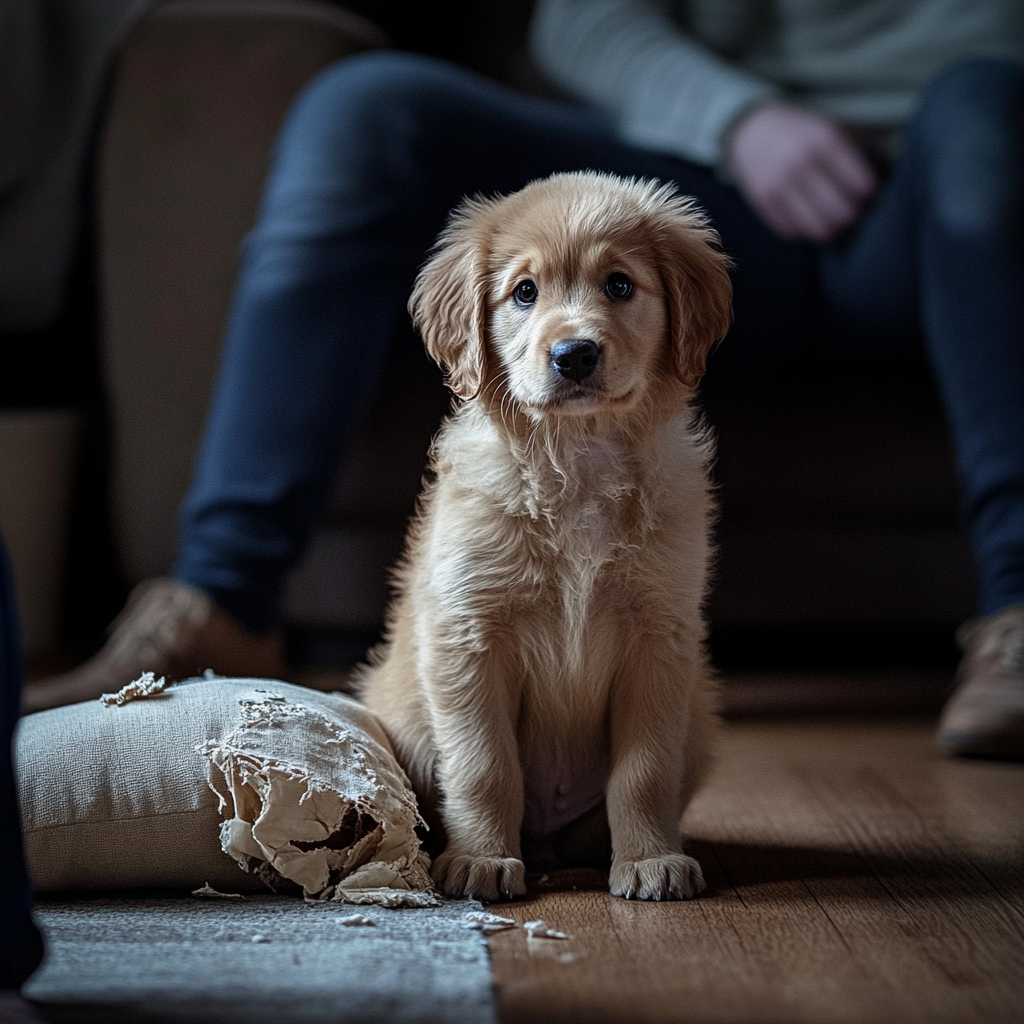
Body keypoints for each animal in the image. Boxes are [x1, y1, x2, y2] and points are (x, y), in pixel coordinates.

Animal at [356, 172, 733, 901]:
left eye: (619, 285)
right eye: (524, 292)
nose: (574, 354)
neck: (578, 459)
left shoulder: (659, 637)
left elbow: (644, 772)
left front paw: (650, 858)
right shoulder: (469, 635)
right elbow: (484, 765)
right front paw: (480, 859)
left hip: (700, 719)